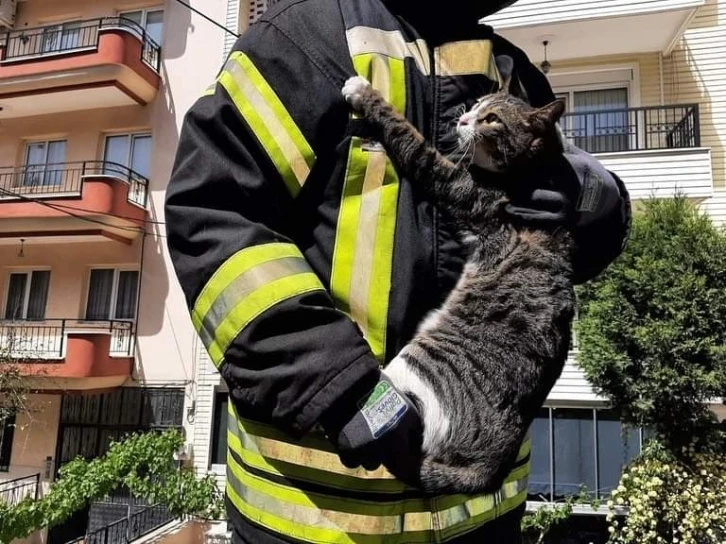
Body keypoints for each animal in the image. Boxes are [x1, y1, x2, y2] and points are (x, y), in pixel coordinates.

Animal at [344, 66, 576, 496]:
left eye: (492, 119)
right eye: (479, 104)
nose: (464, 118)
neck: (534, 172)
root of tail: (489, 468)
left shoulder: (458, 186)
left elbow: (410, 138)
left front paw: (363, 92)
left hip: (420, 365)